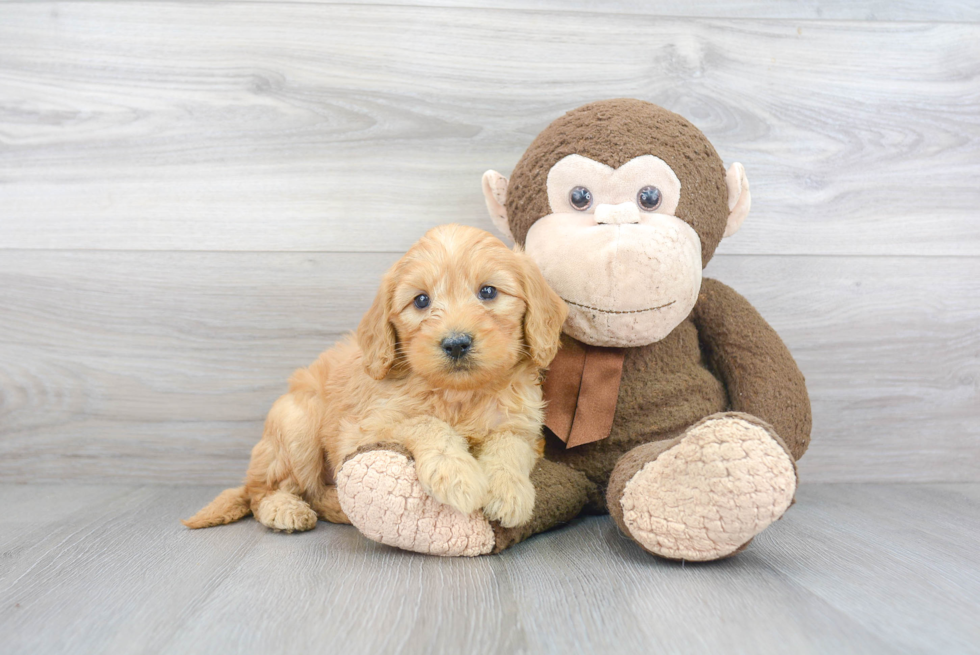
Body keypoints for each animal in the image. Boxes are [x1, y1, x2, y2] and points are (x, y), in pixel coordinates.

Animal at [184, 226, 568, 532]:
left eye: (488, 292)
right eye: (421, 300)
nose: (456, 343)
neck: (459, 395)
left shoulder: (524, 427)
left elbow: (509, 445)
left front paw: (508, 491)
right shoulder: (363, 428)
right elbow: (425, 422)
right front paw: (456, 474)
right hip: (296, 425)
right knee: (270, 491)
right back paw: (291, 508)